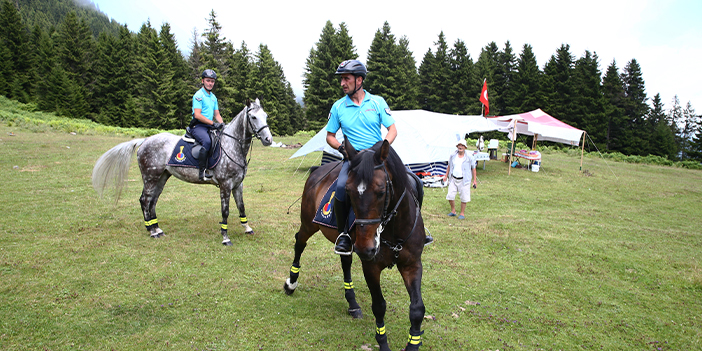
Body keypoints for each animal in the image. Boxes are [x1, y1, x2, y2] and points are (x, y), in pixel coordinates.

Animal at [95, 97, 276, 245]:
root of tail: (145, 140)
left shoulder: (238, 184)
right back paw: (151, 231)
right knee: (144, 200)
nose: (268, 140)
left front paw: (247, 228)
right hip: (150, 176)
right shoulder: (225, 185)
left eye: (265, 116)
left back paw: (157, 229)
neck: (232, 145)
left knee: (153, 200)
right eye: (253, 117)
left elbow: (241, 207)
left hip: (162, 176)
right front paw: (225, 237)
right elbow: (225, 212)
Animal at [284, 139, 426, 350]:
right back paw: (291, 283)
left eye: (381, 191)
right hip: (309, 224)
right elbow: (379, 306)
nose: (366, 248)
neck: (394, 231)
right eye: (349, 192)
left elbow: (417, 308)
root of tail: (318, 171)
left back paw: (352, 304)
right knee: (299, 243)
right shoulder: (371, 267)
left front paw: (413, 344)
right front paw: (383, 342)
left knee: (345, 263)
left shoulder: (412, 264)